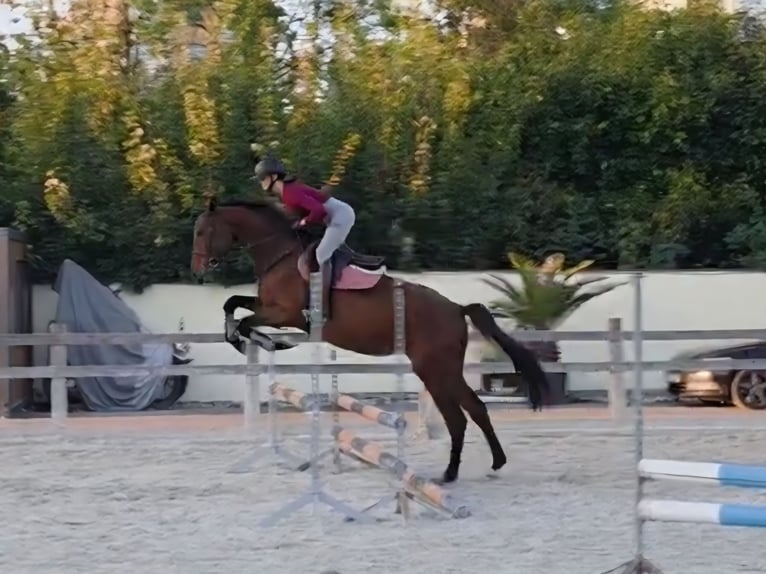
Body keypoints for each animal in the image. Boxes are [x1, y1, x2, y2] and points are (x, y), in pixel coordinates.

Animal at [191, 196, 551, 483]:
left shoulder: (284, 314)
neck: (280, 254)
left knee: (457, 418)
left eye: (202, 231)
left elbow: (245, 319)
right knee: (475, 409)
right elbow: (232, 304)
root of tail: (457, 308)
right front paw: (247, 339)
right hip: (446, 369)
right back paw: (495, 463)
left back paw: (449, 474)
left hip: (432, 369)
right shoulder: (267, 307)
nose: (197, 270)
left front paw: (266, 342)